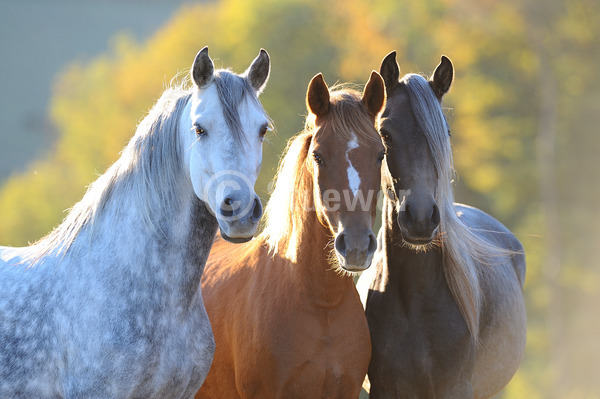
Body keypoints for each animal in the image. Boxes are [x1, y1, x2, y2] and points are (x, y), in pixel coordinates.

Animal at [356, 52, 524, 396]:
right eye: (385, 133)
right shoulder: (383, 388)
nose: (420, 217)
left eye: (445, 133)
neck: (416, 299)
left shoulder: (455, 387)